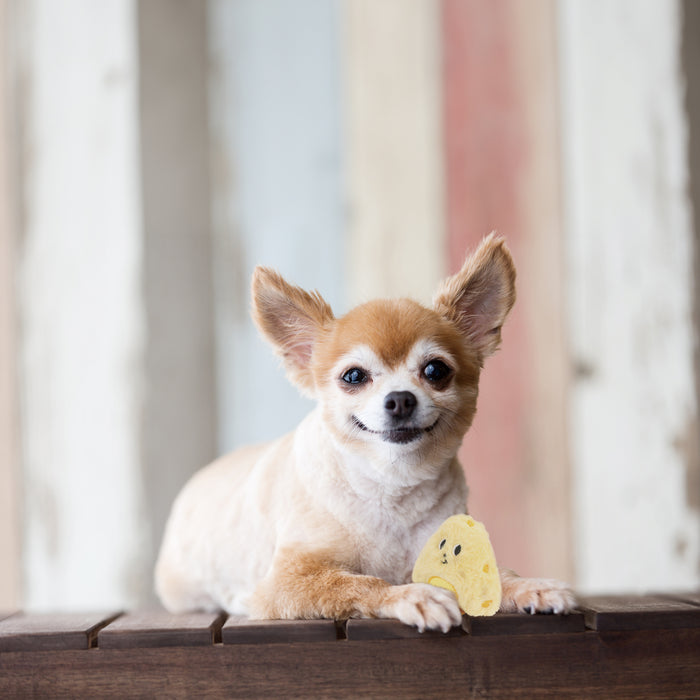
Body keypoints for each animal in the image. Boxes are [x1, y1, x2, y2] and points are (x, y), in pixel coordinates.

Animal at [154, 237, 576, 636]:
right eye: (354, 376)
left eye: (436, 370)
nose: (401, 399)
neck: (391, 487)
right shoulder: (285, 581)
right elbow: (358, 582)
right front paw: (410, 595)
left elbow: (496, 575)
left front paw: (530, 587)